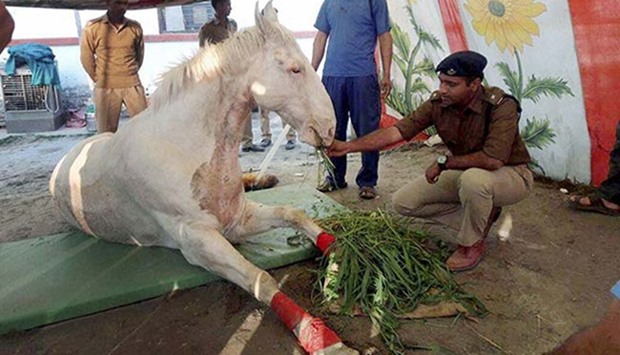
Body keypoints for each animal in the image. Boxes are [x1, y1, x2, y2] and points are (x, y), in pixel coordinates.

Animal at [49, 2, 356, 355]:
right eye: (294, 69)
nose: (329, 129)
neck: (183, 148)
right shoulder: (199, 240)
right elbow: (261, 279)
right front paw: (322, 338)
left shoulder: (237, 219)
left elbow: (294, 214)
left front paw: (342, 262)